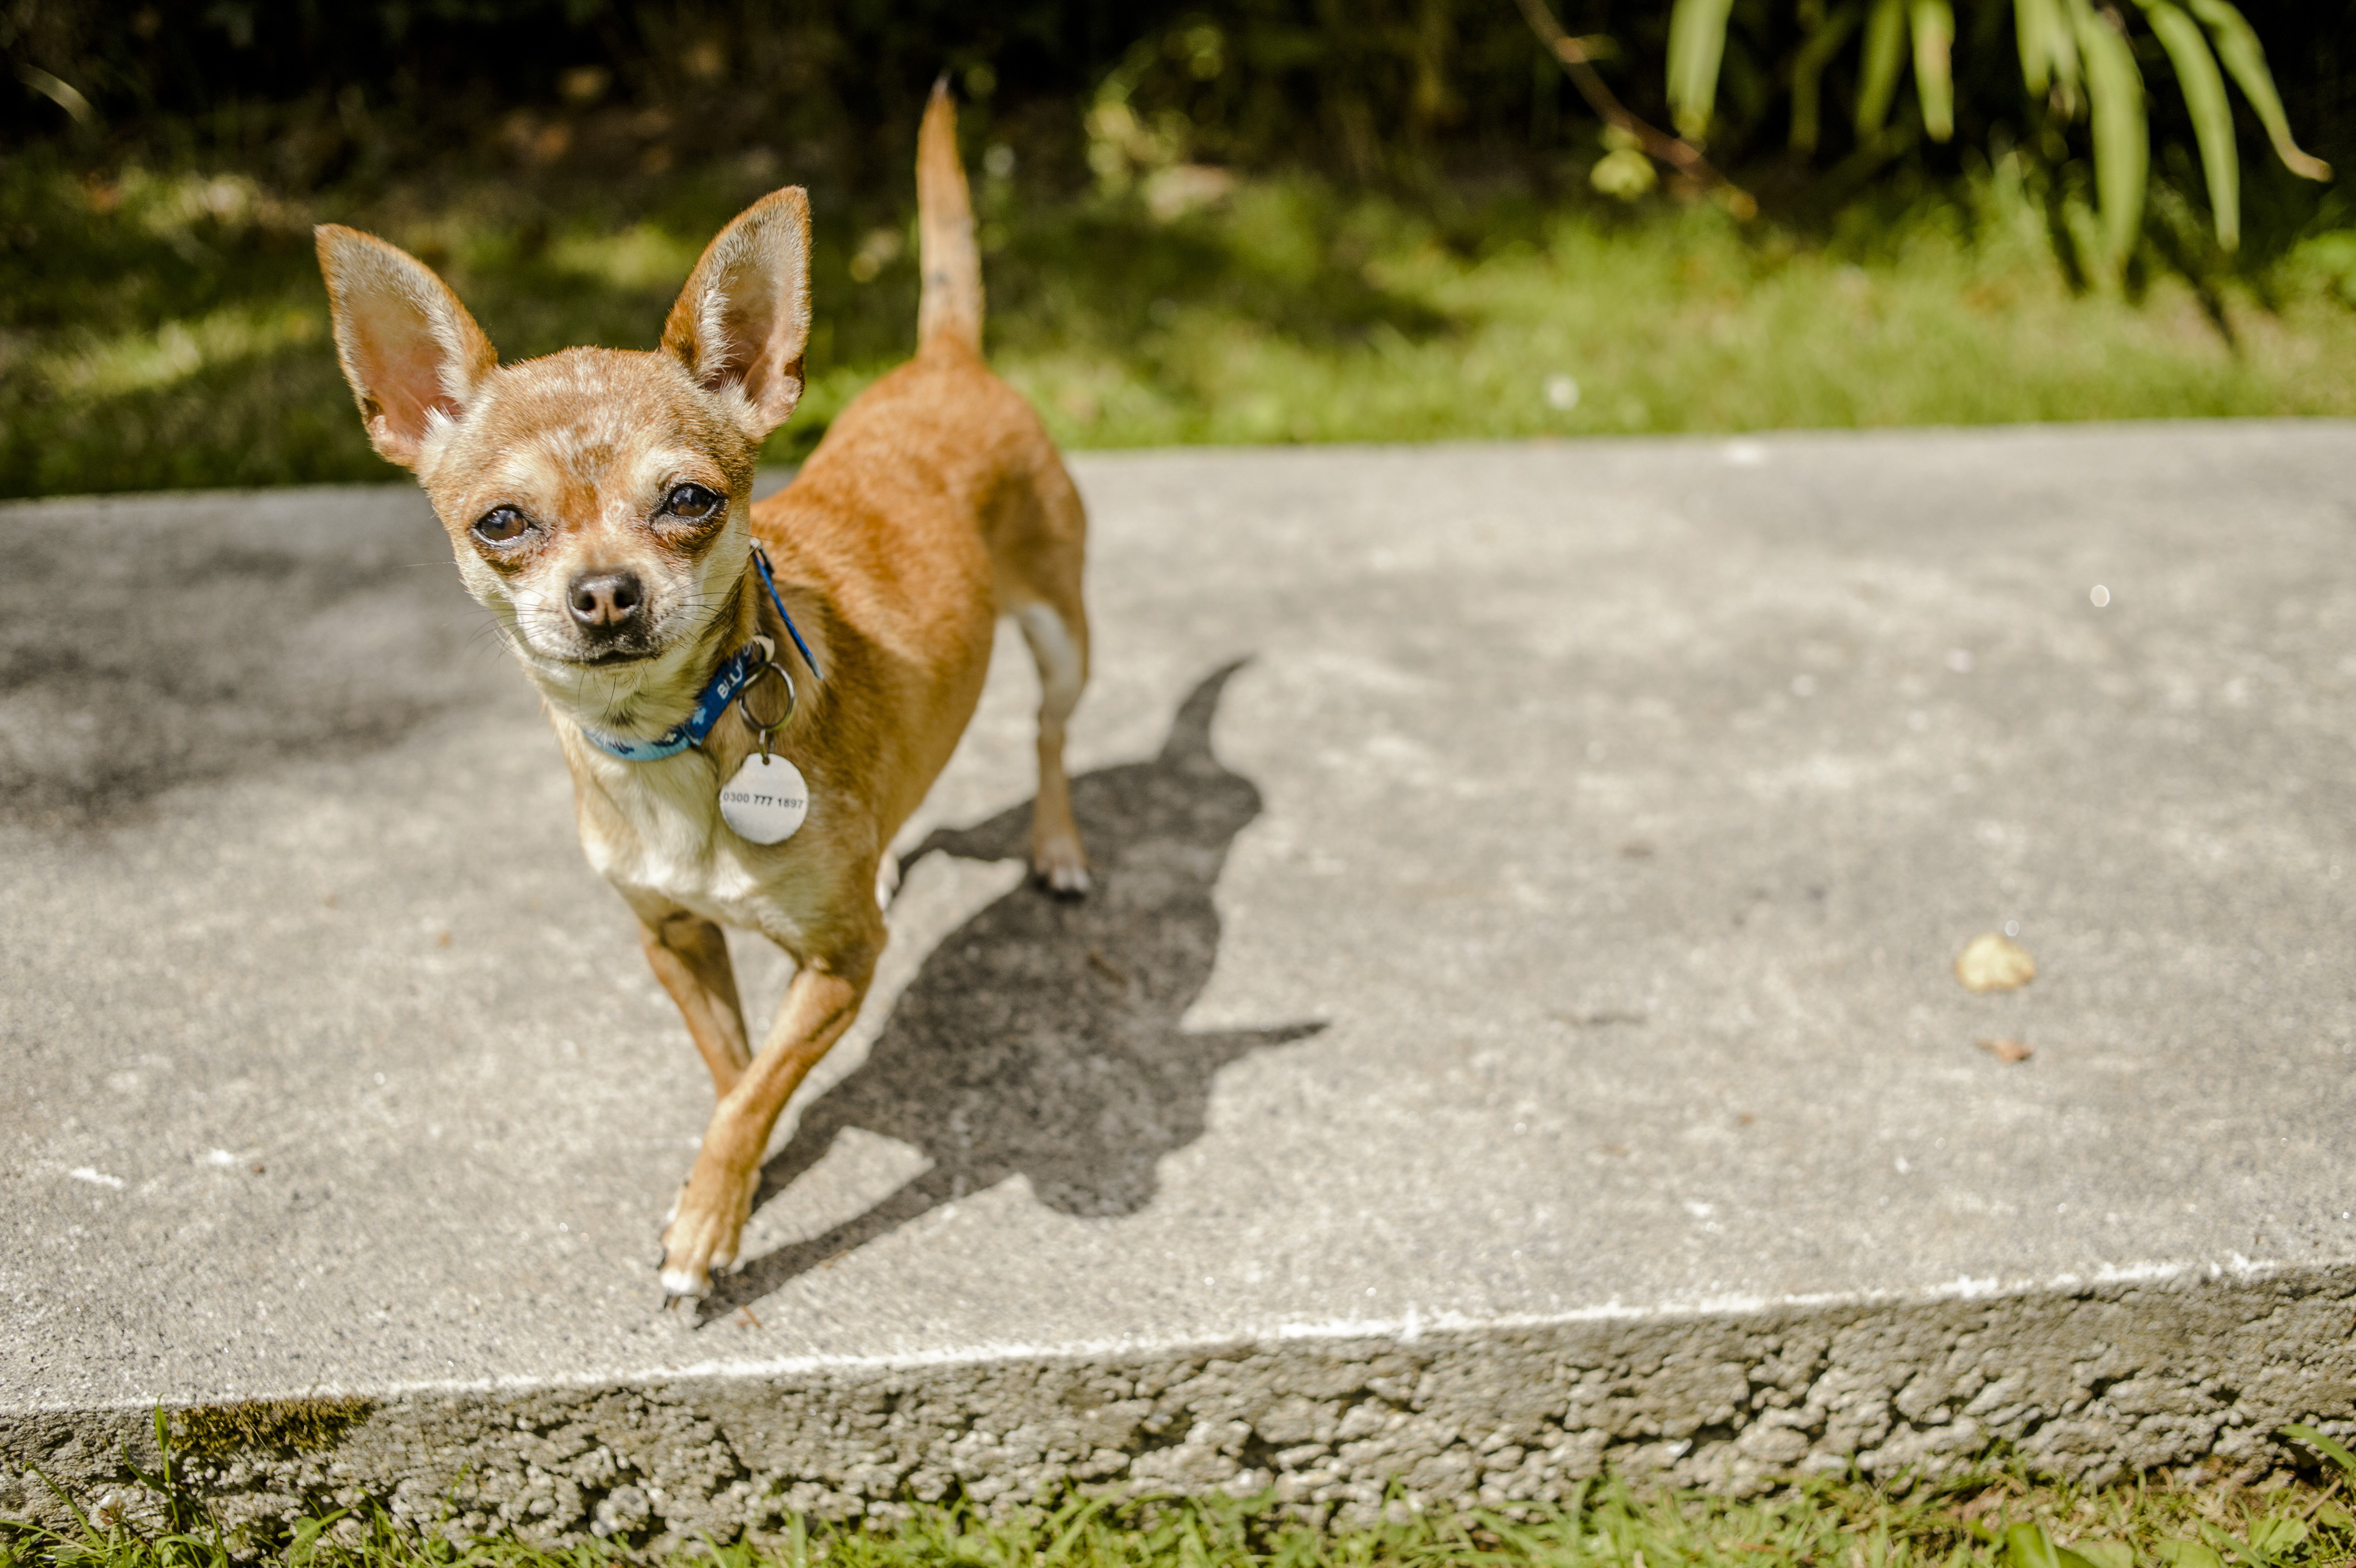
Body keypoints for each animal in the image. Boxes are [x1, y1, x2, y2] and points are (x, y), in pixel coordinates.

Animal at [318, 92, 1098, 1299]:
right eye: (502, 521)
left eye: (690, 499)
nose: (604, 593)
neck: (674, 740)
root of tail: (944, 359)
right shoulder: (674, 936)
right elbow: (737, 1072)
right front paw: (736, 1179)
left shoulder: (843, 959)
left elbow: (754, 1087)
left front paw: (707, 1222)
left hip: (1063, 634)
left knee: (1052, 736)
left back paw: (1056, 846)